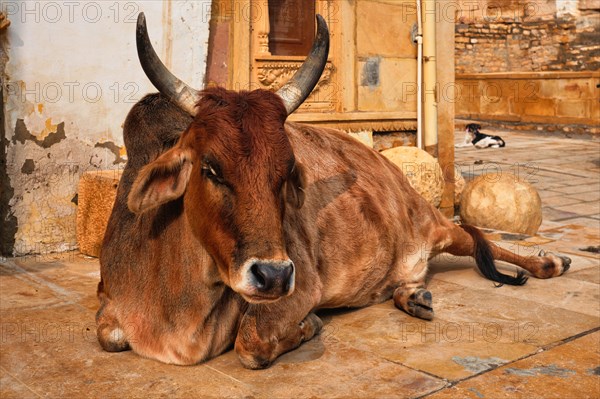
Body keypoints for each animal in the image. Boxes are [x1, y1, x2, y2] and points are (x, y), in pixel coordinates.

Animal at [96, 14, 568, 370]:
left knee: (477, 238)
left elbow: (251, 344)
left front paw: (310, 326)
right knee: (418, 272)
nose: (273, 275)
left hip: (434, 225)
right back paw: (413, 296)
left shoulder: (302, 287)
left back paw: (549, 263)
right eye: (210, 168)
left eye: (287, 171)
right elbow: (109, 334)